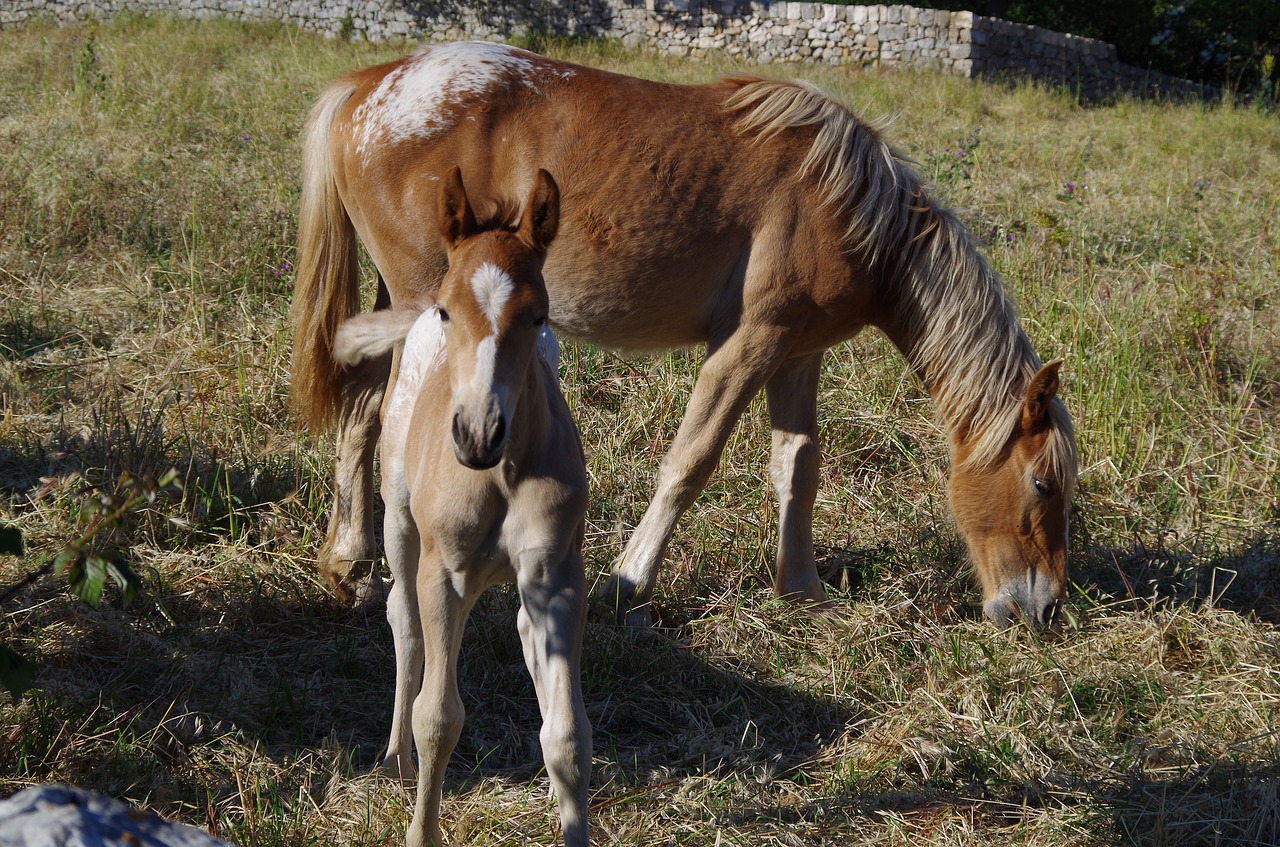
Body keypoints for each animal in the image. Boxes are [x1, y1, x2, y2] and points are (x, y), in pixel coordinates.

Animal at [285, 43, 1075, 634]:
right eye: (1043, 482)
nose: (1044, 610)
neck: (849, 207)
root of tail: (369, 86)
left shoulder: (798, 352)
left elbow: (797, 466)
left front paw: (801, 589)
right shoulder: (749, 342)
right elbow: (690, 461)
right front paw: (628, 579)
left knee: (360, 416)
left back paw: (349, 565)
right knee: (386, 420)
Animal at [330, 167, 588, 847]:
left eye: (538, 316)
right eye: (452, 310)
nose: (478, 433)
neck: (498, 477)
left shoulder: (556, 577)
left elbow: (567, 735)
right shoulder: (443, 575)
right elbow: (439, 718)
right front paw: (420, 829)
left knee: (519, 631)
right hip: (400, 522)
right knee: (404, 622)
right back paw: (393, 761)